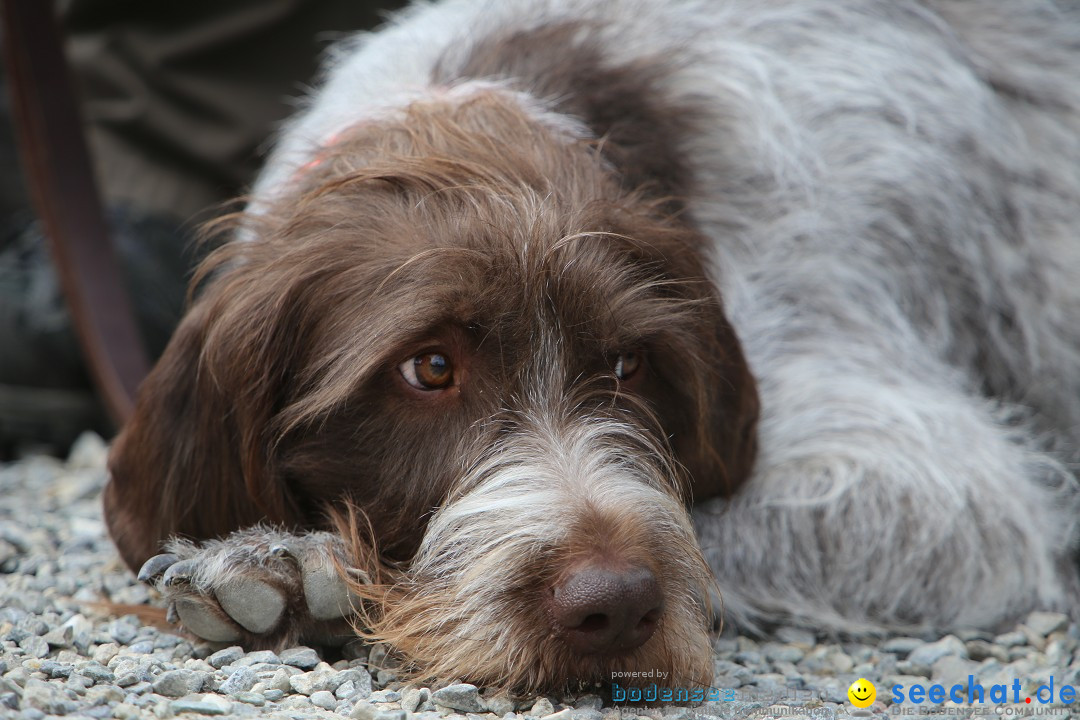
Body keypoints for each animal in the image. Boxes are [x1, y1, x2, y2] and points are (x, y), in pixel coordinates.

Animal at [105, 1, 1080, 699]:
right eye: (429, 369)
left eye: (627, 367)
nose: (613, 608)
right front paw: (283, 566)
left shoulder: (926, 488)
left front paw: (302, 570)